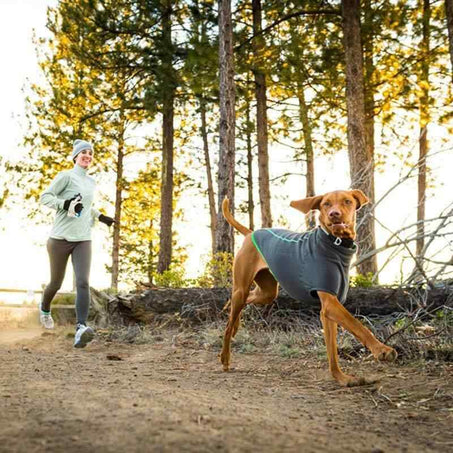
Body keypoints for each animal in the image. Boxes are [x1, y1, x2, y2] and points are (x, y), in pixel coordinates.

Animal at [219, 190, 396, 384]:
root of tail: (251, 233)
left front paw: (340, 377)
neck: (335, 244)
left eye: (347, 201)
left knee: (246, 299)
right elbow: (357, 325)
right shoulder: (330, 304)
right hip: (242, 287)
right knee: (229, 323)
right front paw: (381, 349)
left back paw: (233, 320)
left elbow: (332, 350)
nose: (334, 214)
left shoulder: (328, 310)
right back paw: (225, 357)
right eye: (326, 204)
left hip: (267, 292)